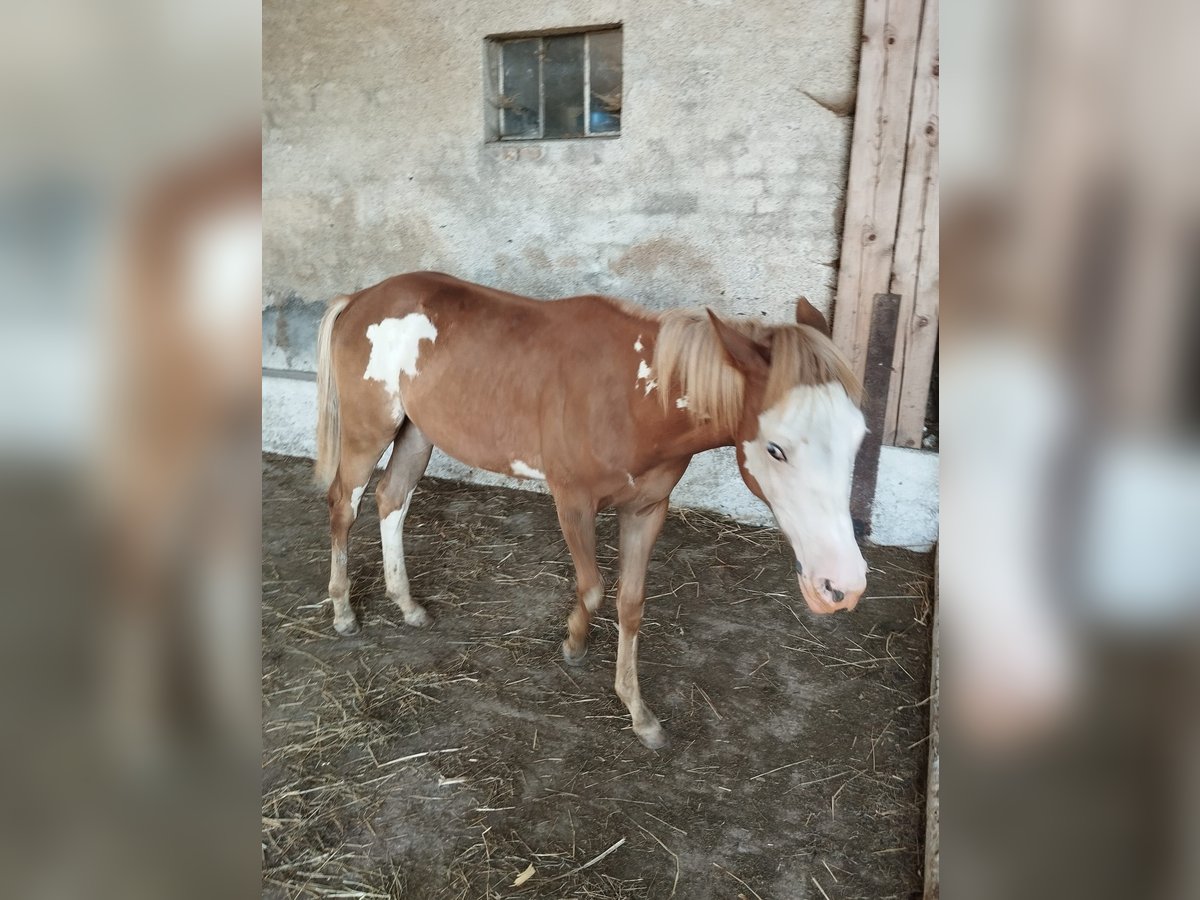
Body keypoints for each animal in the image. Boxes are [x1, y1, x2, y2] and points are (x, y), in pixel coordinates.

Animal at [314, 271, 868, 748]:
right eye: (775, 449)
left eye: (859, 437)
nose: (842, 586)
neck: (634, 396)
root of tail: (360, 298)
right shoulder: (572, 501)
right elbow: (594, 587)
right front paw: (575, 645)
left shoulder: (647, 510)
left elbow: (631, 602)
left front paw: (639, 713)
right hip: (368, 433)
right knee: (345, 505)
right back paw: (343, 611)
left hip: (417, 432)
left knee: (393, 500)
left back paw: (407, 604)